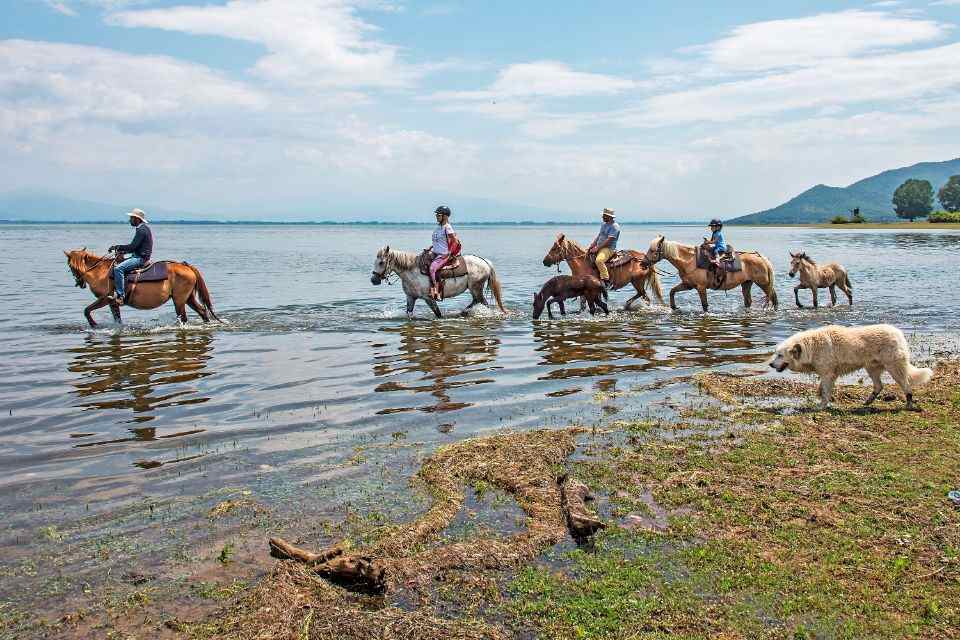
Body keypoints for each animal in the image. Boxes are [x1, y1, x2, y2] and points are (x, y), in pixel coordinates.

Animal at [64, 249, 220, 328]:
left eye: (70, 265)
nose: (79, 282)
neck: (101, 273)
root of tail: (186, 266)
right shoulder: (113, 303)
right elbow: (117, 319)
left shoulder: (106, 299)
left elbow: (87, 310)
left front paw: (93, 324)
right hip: (188, 298)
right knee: (202, 311)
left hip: (179, 300)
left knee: (184, 317)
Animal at [370, 246, 510, 318]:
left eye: (381, 262)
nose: (373, 280)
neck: (412, 271)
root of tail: (484, 261)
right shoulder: (410, 297)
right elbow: (408, 314)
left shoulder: (429, 298)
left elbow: (438, 314)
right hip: (475, 290)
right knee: (476, 302)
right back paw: (463, 312)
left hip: (476, 288)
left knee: (484, 303)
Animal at [640, 238, 776, 312]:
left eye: (652, 250)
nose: (642, 263)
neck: (689, 261)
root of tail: (761, 257)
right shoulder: (688, 285)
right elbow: (672, 292)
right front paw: (674, 307)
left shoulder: (701, 287)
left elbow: (704, 305)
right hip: (747, 283)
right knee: (748, 301)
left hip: (763, 283)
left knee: (773, 297)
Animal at [768, 324, 932, 410]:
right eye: (776, 354)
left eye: (780, 355)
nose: (770, 364)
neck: (811, 347)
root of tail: (898, 333)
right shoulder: (828, 375)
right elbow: (822, 389)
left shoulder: (827, 375)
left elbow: (825, 392)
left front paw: (821, 407)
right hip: (872, 368)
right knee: (879, 386)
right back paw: (867, 402)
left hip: (894, 368)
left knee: (907, 386)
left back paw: (909, 404)